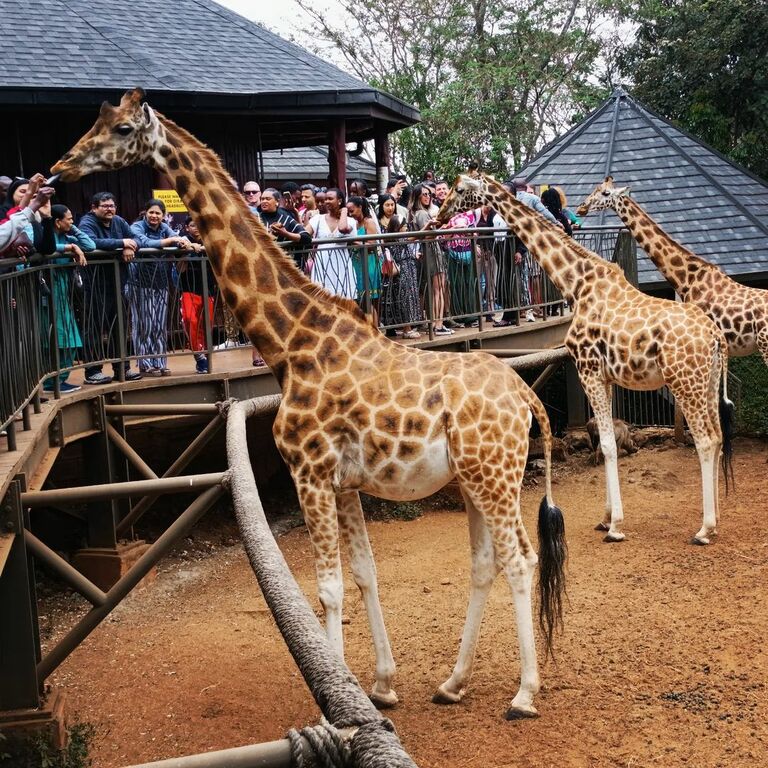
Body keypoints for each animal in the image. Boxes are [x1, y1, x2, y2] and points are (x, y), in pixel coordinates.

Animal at [52, 89, 567, 720]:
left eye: (122, 129)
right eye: (96, 120)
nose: (62, 168)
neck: (293, 343)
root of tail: (523, 394)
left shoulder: (310, 472)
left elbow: (328, 587)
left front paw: (337, 707)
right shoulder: (344, 483)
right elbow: (365, 575)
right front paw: (383, 685)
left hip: (494, 475)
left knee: (520, 560)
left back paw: (524, 694)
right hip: (475, 478)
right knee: (486, 562)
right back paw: (452, 683)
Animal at [437, 174, 734, 546]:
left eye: (461, 189)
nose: (440, 215)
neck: (577, 285)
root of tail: (715, 337)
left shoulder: (587, 368)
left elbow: (607, 444)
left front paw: (616, 526)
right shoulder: (603, 376)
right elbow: (604, 440)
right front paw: (605, 519)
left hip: (684, 382)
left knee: (706, 439)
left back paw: (704, 529)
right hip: (706, 382)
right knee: (718, 436)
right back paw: (717, 520)